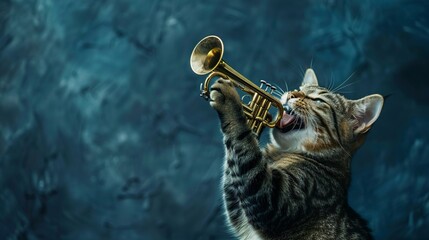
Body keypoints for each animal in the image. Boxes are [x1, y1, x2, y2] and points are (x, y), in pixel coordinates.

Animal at [209, 68, 382, 239]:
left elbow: (241, 136)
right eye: (299, 89)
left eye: (319, 101)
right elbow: (234, 163)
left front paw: (229, 98)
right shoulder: (237, 208)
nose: (292, 94)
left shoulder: (272, 200)